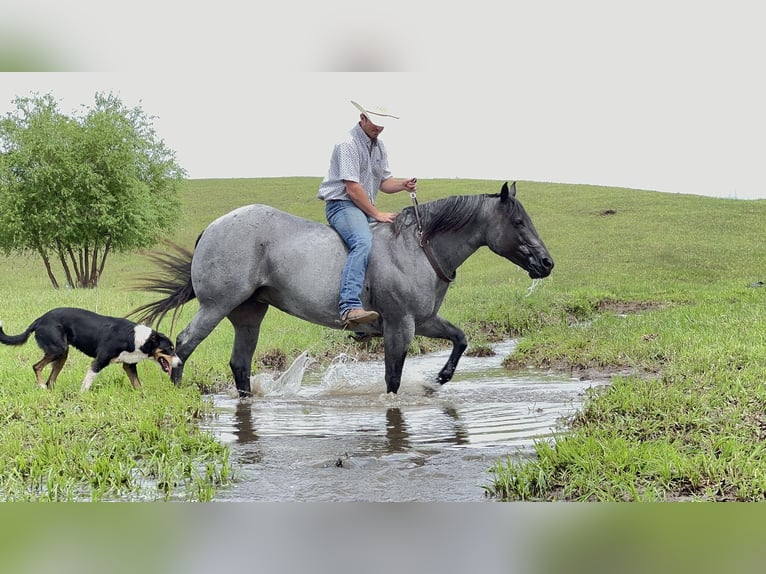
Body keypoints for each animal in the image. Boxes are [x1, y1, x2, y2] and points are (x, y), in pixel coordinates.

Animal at [0, 308, 182, 394]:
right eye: (170, 349)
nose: (180, 363)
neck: (136, 339)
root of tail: (39, 319)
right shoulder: (98, 361)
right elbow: (87, 383)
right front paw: (82, 396)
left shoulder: (129, 365)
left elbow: (138, 385)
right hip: (58, 349)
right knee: (36, 366)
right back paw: (41, 386)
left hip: (62, 354)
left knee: (51, 379)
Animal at [130, 182, 552, 398]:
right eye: (518, 222)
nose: (547, 263)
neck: (416, 248)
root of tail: (213, 228)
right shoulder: (400, 326)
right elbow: (392, 379)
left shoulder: (424, 320)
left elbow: (461, 338)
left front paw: (441, 378)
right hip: (216, 306)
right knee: (184, 344)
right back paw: (177, 394)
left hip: (248, 314)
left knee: (239, 363)